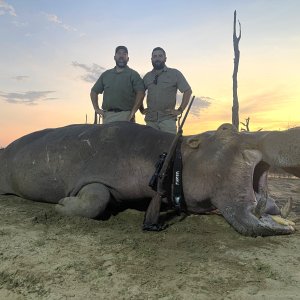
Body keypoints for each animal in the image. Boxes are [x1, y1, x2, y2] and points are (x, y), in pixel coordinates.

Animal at [0, 122, 298, 237]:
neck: (175, 156)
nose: (289, 131)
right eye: (226, 129)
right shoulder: (95, 175)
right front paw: (62, 204)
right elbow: (96, 199)